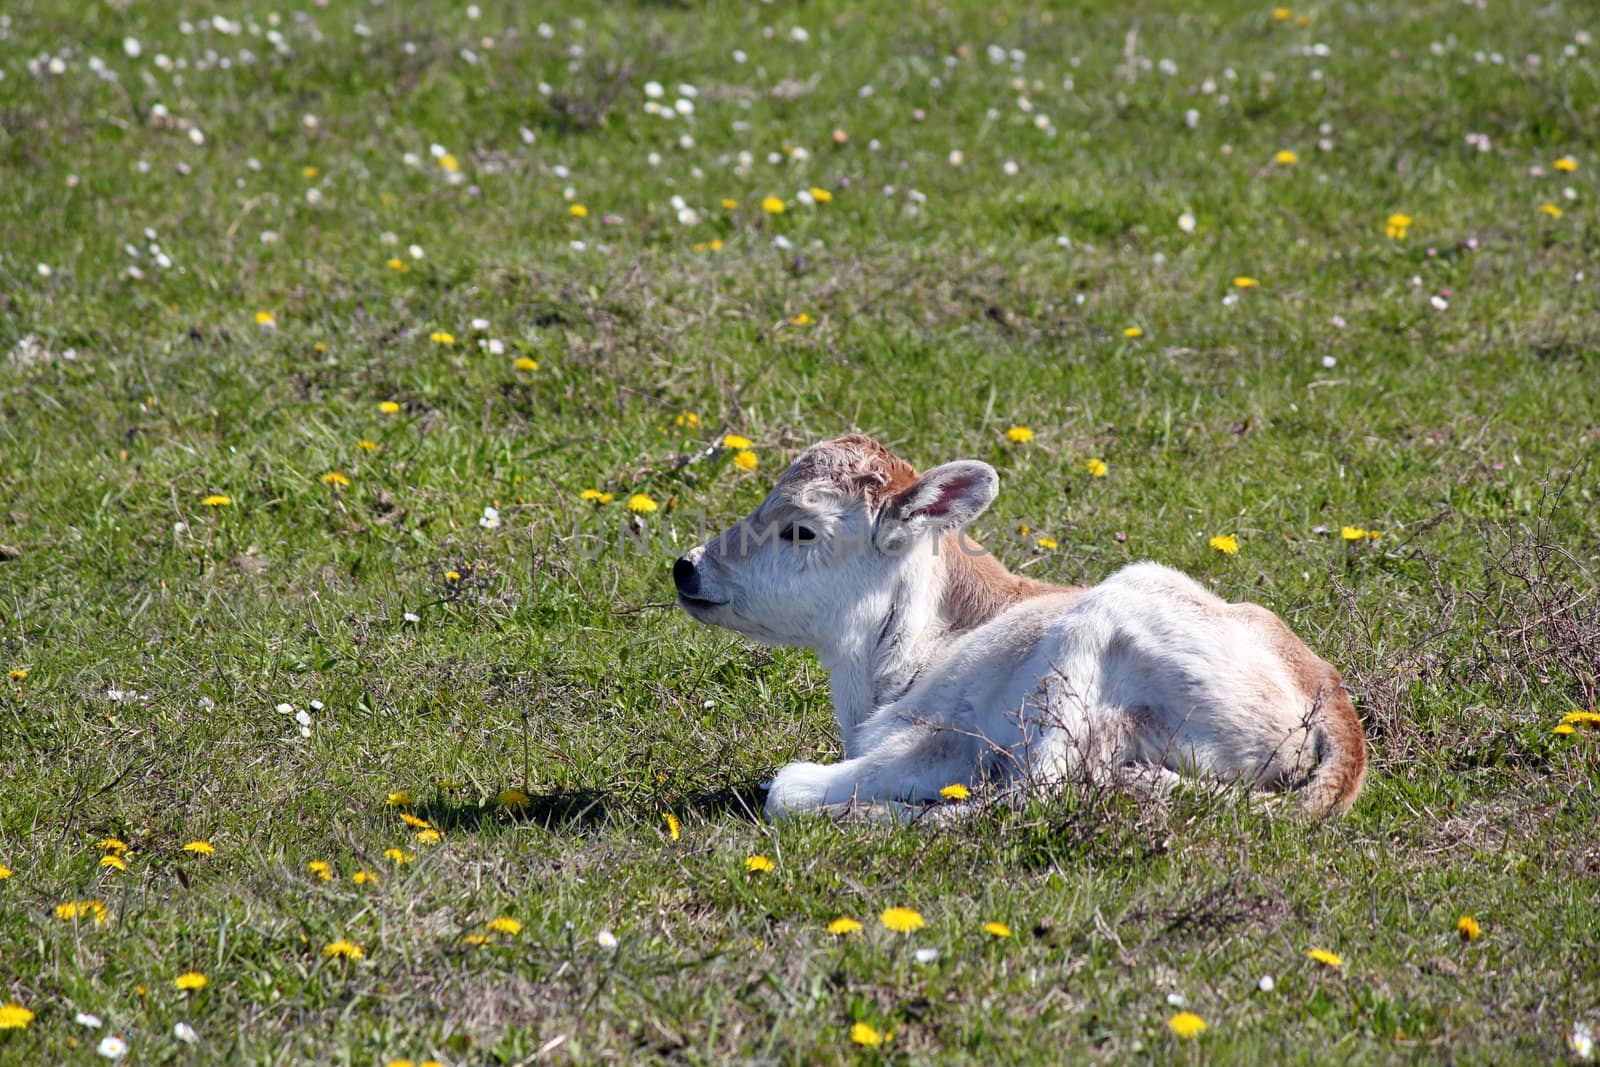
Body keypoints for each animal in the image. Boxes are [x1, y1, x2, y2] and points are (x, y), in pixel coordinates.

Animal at [672, 435, 1363, 819]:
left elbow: (786, 788)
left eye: (801, 529)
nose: (688, 567)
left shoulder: (940, 739)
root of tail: (1329, 695)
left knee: (1037, 791)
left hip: (1086, 644)